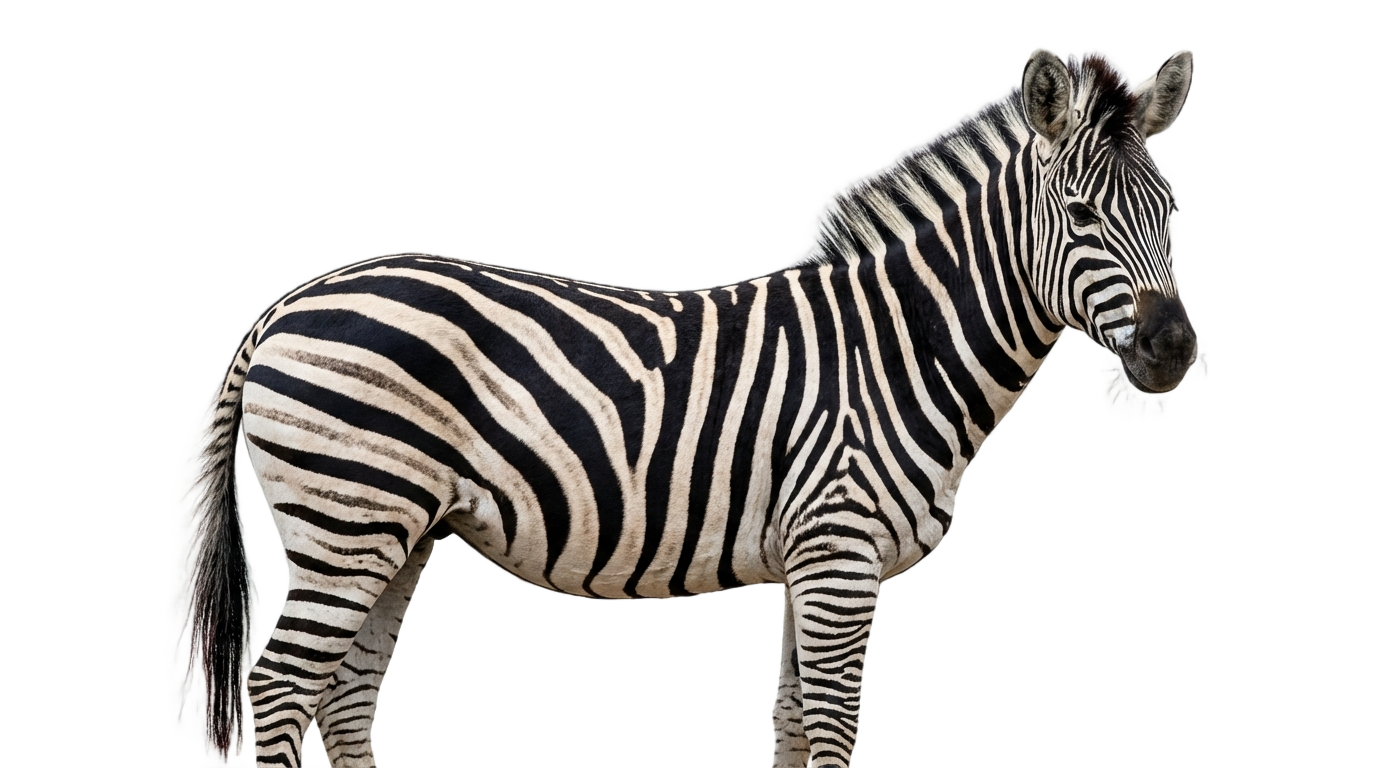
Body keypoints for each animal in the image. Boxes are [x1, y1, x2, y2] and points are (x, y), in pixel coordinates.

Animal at [184, 49, 1197, 767]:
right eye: (1080, 216)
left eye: (1172, 211)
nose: (1175, 346)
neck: (896, 347)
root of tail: (286, 304)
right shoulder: (839, 552)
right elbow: (833, 732)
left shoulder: (812, 557)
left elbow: (793, 726)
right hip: (349, 516)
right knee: (281, 696)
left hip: (395, 531)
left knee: (343, 704)